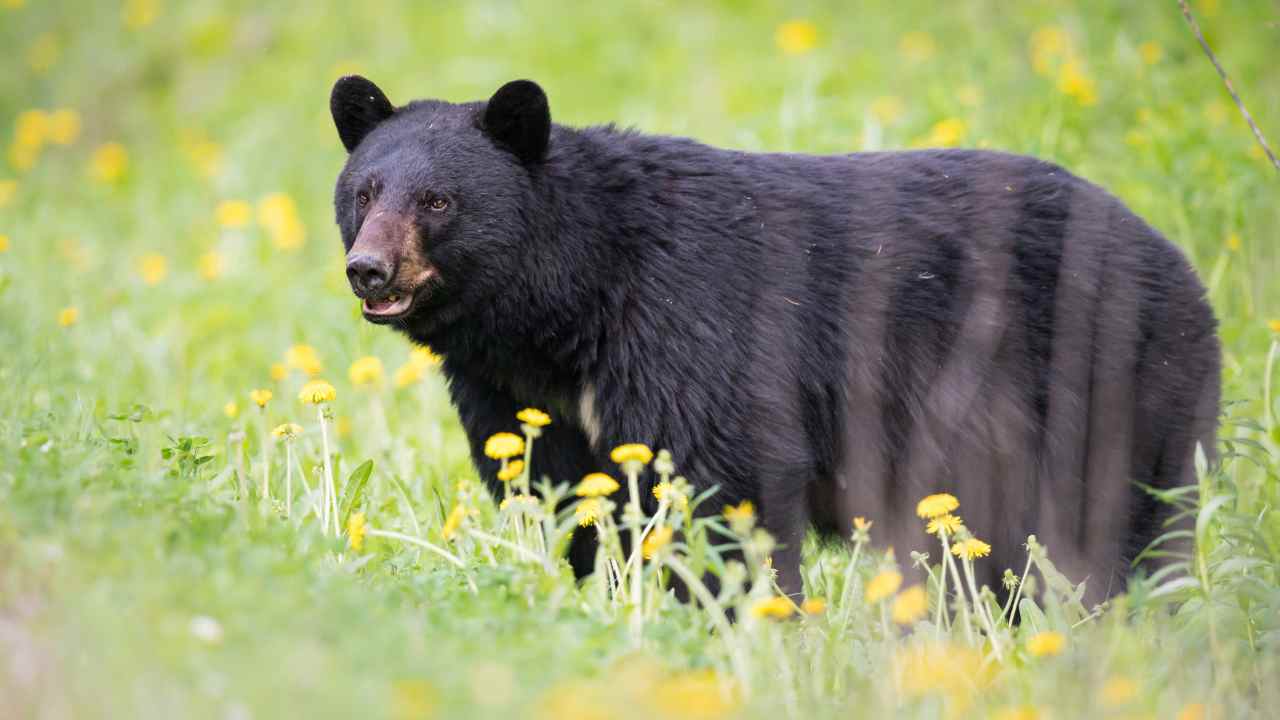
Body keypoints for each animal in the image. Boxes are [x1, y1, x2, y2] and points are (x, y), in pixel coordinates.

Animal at [330, 75, 1218, 599]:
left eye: (438, 201)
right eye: (365, 191)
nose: (368, 269)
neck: (567, 305)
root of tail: (1181, 264)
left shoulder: (689, 323)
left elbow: (726, 475)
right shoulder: (516, 393)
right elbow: (568, 491)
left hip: (1112, 383)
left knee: (1116, 524)